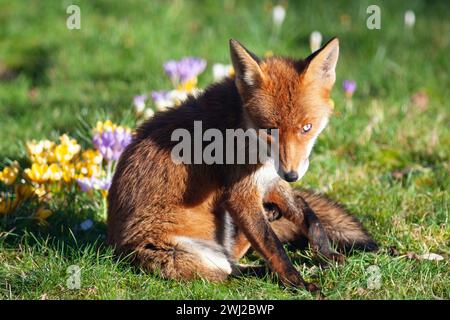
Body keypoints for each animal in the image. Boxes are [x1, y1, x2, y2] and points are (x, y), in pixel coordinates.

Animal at [107, 37, 378, 292]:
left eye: (306, 128)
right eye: (270, 130)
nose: (292, 175)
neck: (243, 127)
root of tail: (115, 247)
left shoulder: (269, 178)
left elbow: (308, 215)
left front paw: (325, 254)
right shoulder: (241, 194)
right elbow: (274, 248)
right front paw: (297, 284)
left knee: (236, 256)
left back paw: (271, 219)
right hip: (184, 254)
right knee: (230, 272)